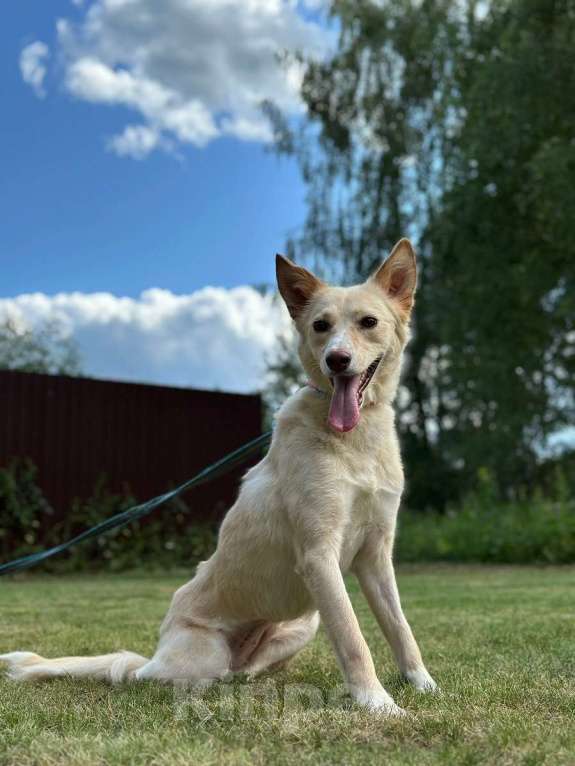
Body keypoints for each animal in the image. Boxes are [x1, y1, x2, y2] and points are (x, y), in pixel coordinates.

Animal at [2, 238, 436, 712]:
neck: (354, 442)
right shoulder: (319, 556)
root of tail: (153, 656)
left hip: (302, 624)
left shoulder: (376, 556)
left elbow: (402, 630)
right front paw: (378, 703)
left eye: (368, 322)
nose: (336, 360)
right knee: (155, 677)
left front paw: (423, 685)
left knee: (241, 672)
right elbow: (355, 639)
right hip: (206, 652)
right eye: (320, 325)